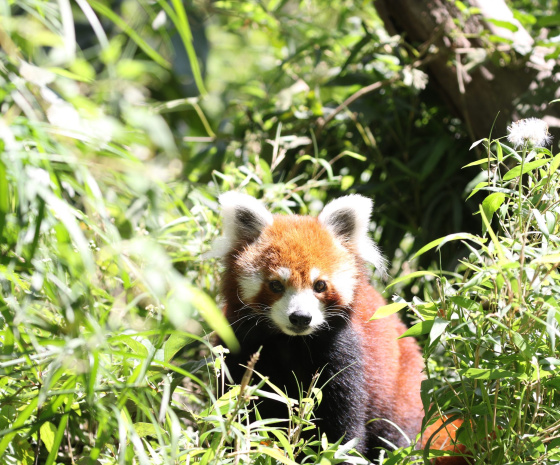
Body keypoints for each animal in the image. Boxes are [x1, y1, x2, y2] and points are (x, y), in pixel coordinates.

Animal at [215, 191, 468, 460]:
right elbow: (240, 410)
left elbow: (341, 428)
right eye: (275, 285)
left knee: (395, 435)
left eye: (319, 285)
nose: (301, 317)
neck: (291, 343)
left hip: (402, 389)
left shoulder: (343, 356)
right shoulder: (242, 345)